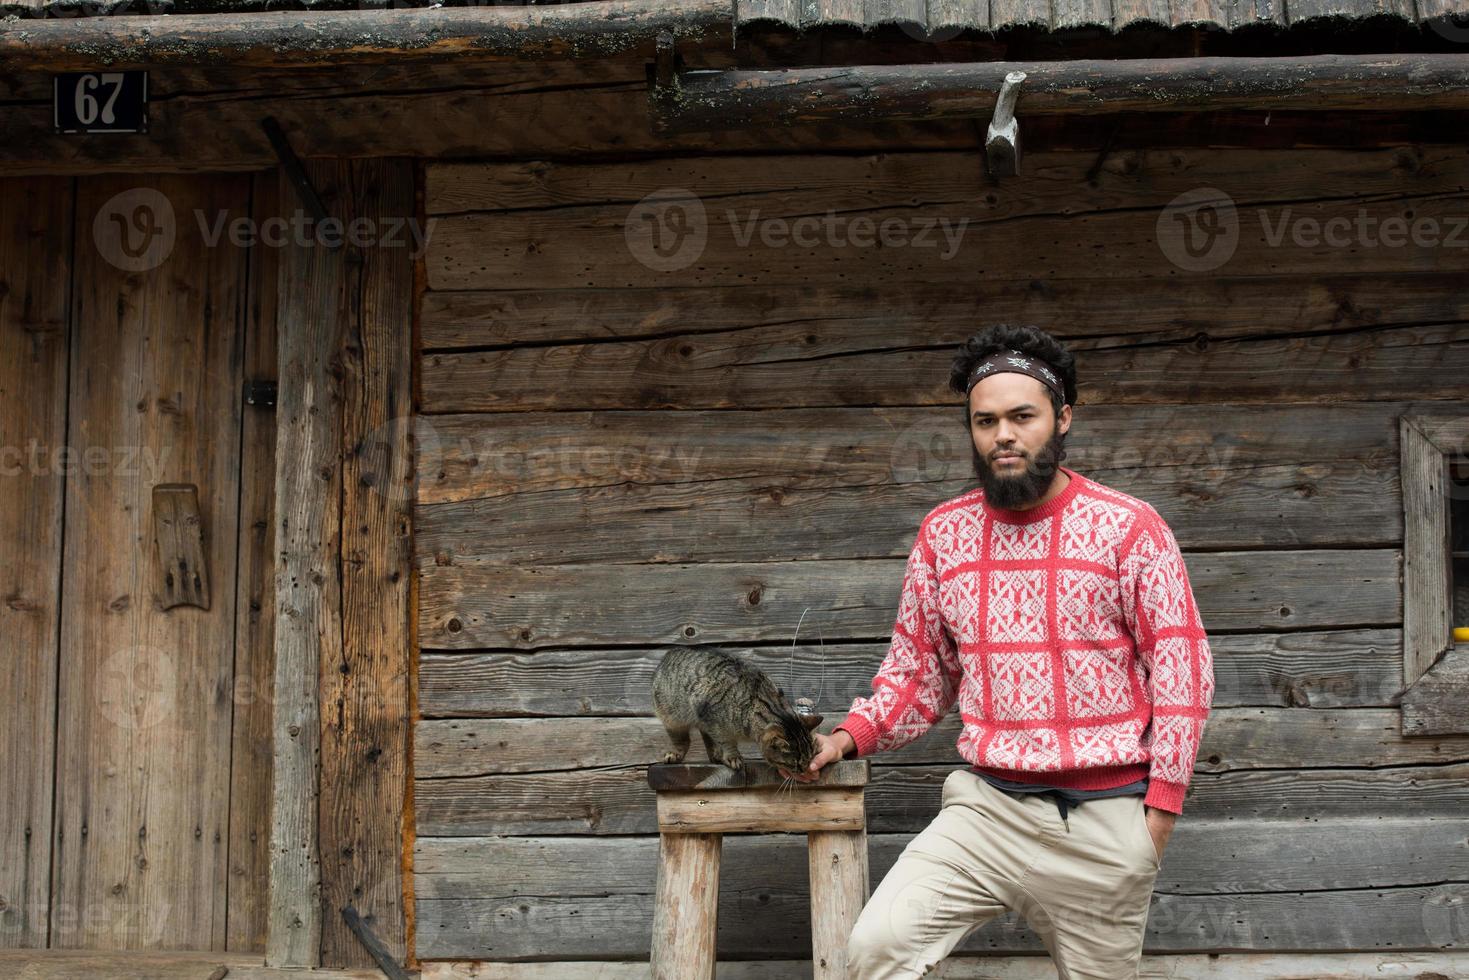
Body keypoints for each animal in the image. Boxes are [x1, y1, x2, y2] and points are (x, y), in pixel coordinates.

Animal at [655, 646, 828, 775]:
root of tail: (671, 651)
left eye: (811, 759)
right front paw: (733, 756)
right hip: (672, 718)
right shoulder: (712, 718)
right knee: (682, 741)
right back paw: (676, 754)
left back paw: (715, 754)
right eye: (796, 765)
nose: (805, 771)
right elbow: (726, 740)